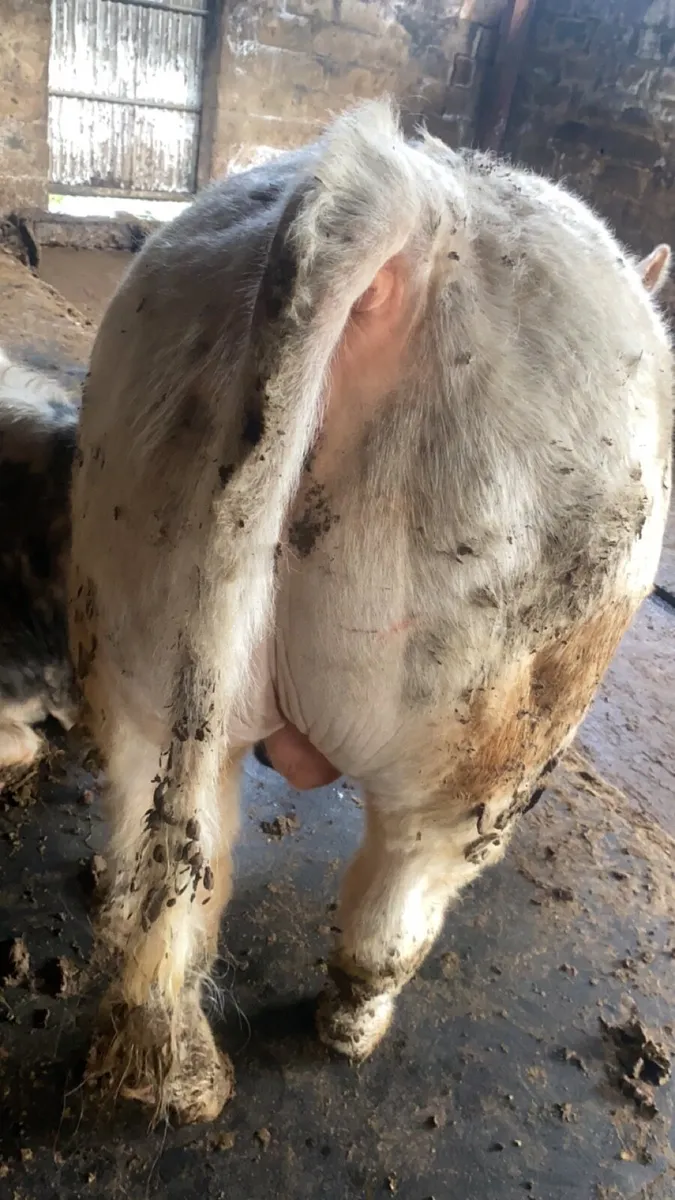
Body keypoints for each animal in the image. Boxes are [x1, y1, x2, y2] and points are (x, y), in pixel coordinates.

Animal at [66, 100, 672, 1125]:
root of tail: (403, 202)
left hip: (133, 601)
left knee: (169, 838)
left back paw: (175, 1060)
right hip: (486, 720)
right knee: (398, 888)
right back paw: (352, 1027)